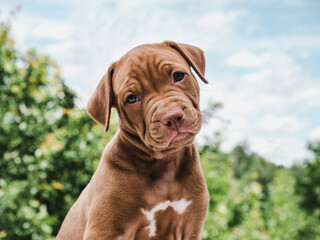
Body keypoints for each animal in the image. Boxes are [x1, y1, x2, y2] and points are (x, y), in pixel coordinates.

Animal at [56, 41, 209, 240]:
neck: (163, 164)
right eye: (131, 98)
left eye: (178, 76)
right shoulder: (105, 230)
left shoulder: (190, 228)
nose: (172, 116)